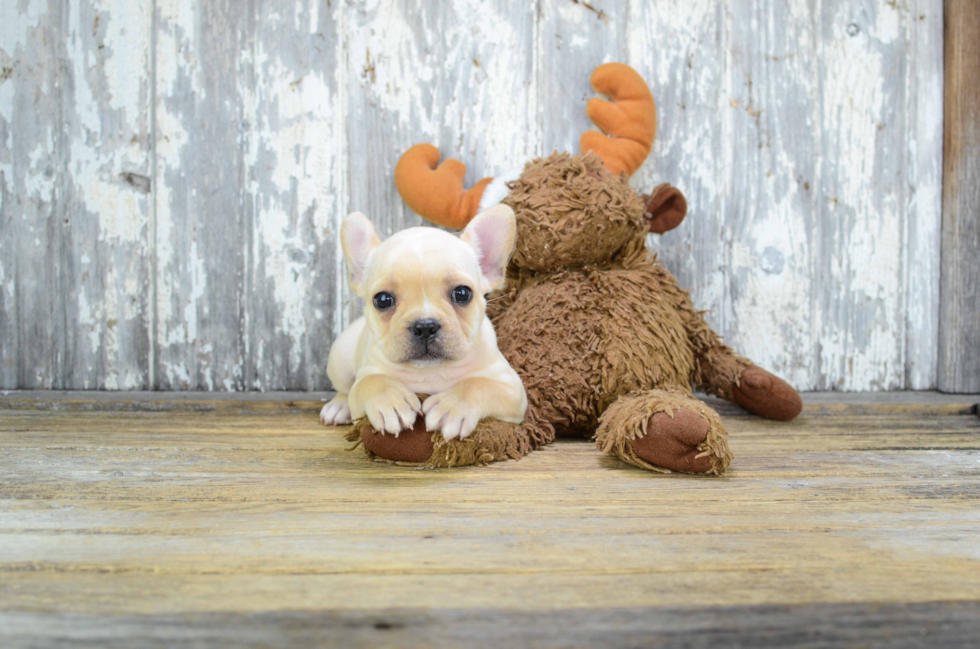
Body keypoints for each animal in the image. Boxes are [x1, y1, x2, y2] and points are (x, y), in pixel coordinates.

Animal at [320, 205, 528, 440]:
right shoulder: (365, 377)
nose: (425, 326)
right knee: (344, 389)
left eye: (462, 293)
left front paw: (452, 407)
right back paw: (337, 407)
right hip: (339, 358)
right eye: (382, 300)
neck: (430, 371)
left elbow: (478, 384)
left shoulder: (511, 388)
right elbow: (370, 382)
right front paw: (390, 401)